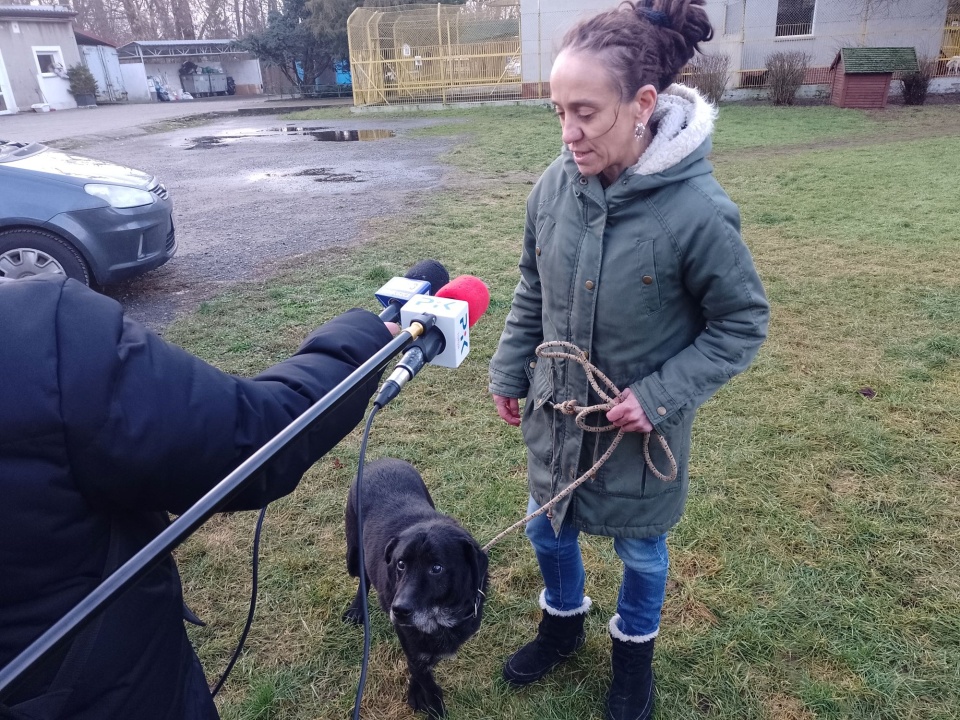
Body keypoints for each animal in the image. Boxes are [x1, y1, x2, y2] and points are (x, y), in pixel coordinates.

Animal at [344, 458, 488, 716]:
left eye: (436, 568)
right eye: (400, 564)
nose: (398, 610)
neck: (441, 616)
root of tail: (379, 460)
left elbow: (418, 665)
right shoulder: (408, 636)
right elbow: (422, 674)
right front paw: (431, 704)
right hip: (352, 551)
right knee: (362, 575)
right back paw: (357, 609)